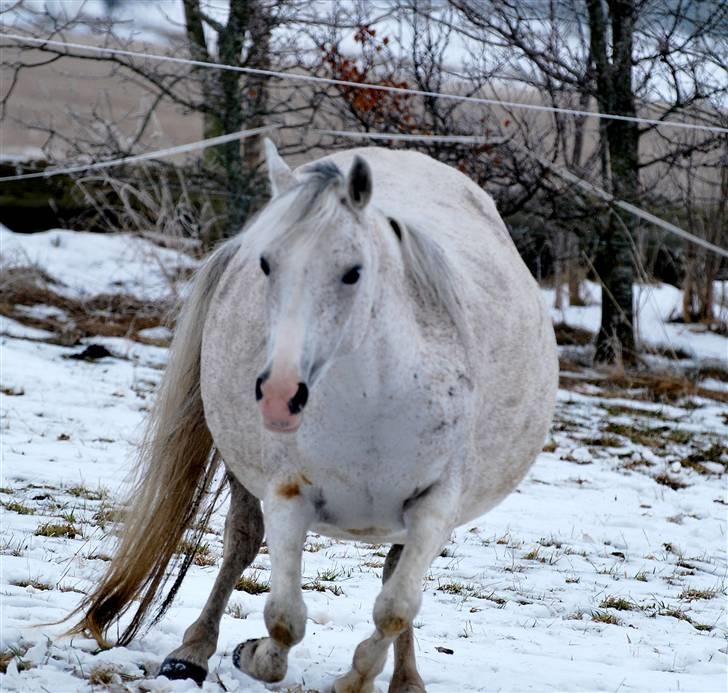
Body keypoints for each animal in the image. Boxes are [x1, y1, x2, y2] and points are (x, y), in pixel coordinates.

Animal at [69, 142, 556, 692]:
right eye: (266, 263)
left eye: (353, 271)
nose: (280, 393)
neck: (372, 406)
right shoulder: (289, 495)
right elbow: (284, 618)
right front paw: (250, 654)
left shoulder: (435, 507)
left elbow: (396, 608)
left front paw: (354, 682)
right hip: (244, 475)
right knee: (241, 543)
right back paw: (191, 654)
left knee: (392, 577)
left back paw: (407, 680)